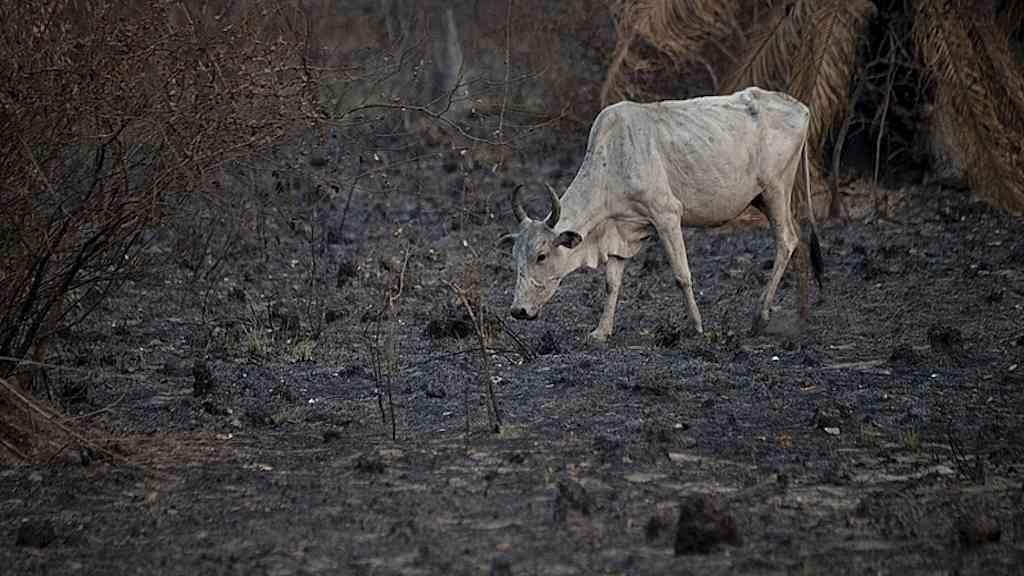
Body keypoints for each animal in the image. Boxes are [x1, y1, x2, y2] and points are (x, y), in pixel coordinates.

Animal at [499, 87, 823, 341]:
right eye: (514, 256)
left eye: (541, 256)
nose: (518, 310)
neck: (612, 161)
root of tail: (802, 107)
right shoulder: (620, 231)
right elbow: (611, 283)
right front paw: (601, 331)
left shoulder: (666, 215)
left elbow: (682, 275)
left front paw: (696, 326)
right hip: (768, 197)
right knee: (800, 240)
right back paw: (802, 314)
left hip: (775, 190)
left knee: (787, 241)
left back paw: (760, 316)